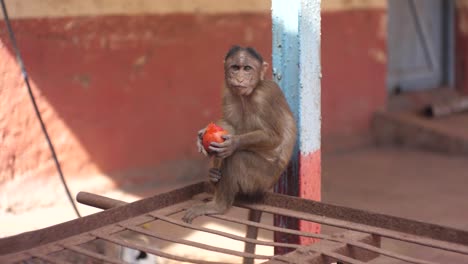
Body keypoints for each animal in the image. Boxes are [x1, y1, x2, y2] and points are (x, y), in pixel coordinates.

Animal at [183, 46, 296, 224]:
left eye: (247, 68)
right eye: (235, 68)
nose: (240, 78)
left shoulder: (265, 95)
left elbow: (273, 137)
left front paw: (233, 143)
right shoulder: (227, 91)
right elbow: (228, 123)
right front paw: (203, 133)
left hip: (261, 180)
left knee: (236, 158)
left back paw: (219, 206)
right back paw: (214, 176)